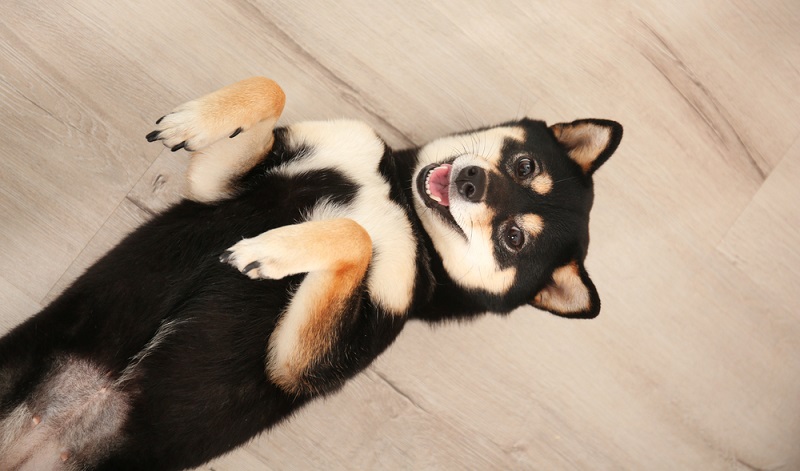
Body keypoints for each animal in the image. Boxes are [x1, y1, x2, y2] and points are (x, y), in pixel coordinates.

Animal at [0, 75, 624, 470]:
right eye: (524, 164)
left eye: (513, 239)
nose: (472, 182)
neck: (399, 200)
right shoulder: (226, 186)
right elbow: (271, 88)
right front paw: (196, 121)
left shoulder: (298, 363)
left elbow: (355, 235)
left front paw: (275, 251)